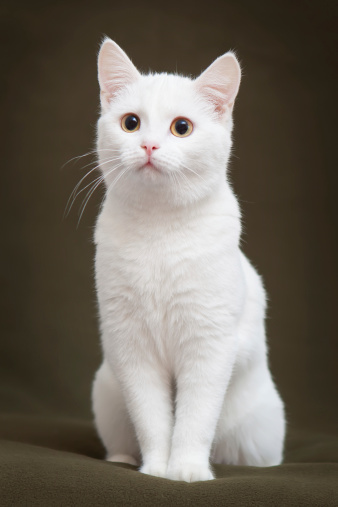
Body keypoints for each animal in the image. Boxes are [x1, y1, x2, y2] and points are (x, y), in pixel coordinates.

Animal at [90, 37, 286, 482]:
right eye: (131, 123)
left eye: (182, 127)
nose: (148, 145)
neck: (159, 231)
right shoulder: (131, 347)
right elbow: (152, 419)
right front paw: (155, 469)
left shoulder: (209, 343)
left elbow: (195, 418)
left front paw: (187, 471)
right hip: (106, 393)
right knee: (122, 438)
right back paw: (121, 460)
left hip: (260, 427)